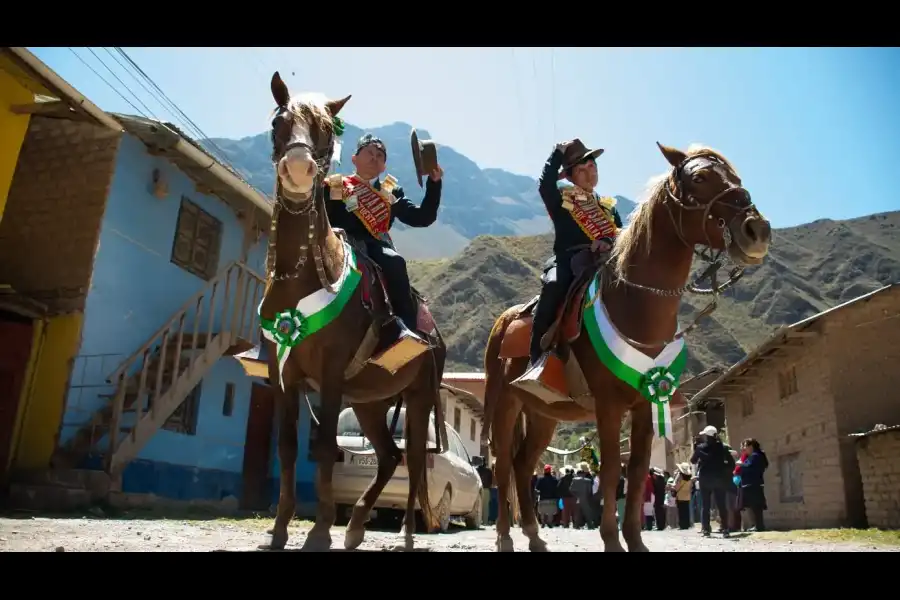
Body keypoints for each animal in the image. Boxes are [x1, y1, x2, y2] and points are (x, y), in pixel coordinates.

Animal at [256, 72, 446, 552]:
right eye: (278, 123)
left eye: (325, 130)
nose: (299, 168)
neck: (302, 275)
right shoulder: (282, 373)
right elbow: (287, 448)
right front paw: (280, 530)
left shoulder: (330, 373)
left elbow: (325, 447)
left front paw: (320, 531)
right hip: (370, 403)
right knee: (388, 456)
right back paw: (358, 525)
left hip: (417, 398)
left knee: (413, 462)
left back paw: (406, 535)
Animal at [482, 142, 768, 552]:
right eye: (699, 178)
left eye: (736, 176)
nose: (757, 230)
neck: (634, 303)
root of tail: (504, 321)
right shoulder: (608, 404)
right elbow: (611, 469)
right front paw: (611, 540)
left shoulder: (647, 401)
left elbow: (635, 468)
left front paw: (634, 540)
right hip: (506, 404)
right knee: (503, 464)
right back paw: (505, 537)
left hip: (542, 414)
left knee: (522, 465)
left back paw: (535, 537)